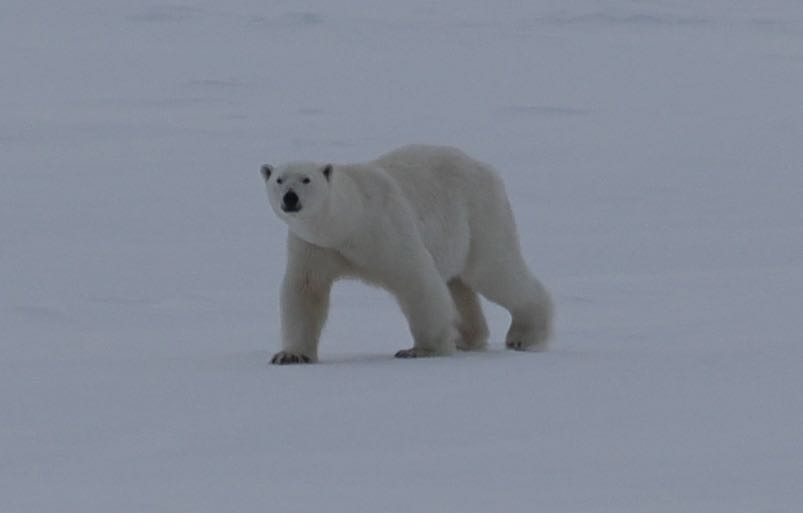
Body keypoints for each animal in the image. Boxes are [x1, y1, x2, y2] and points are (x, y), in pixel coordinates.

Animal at [260, 144, 552, 364]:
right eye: (279, 179)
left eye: (306, 179)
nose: (290, 197)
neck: (348, 223)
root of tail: (484, 167)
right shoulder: (314, 246)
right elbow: (305, 290)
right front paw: (290, 355)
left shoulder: (384, 228)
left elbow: (416, 279)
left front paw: (421, 349)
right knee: (458, 283)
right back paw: (466, 338)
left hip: (480, 214)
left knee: (494, 269)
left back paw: (525, 336)